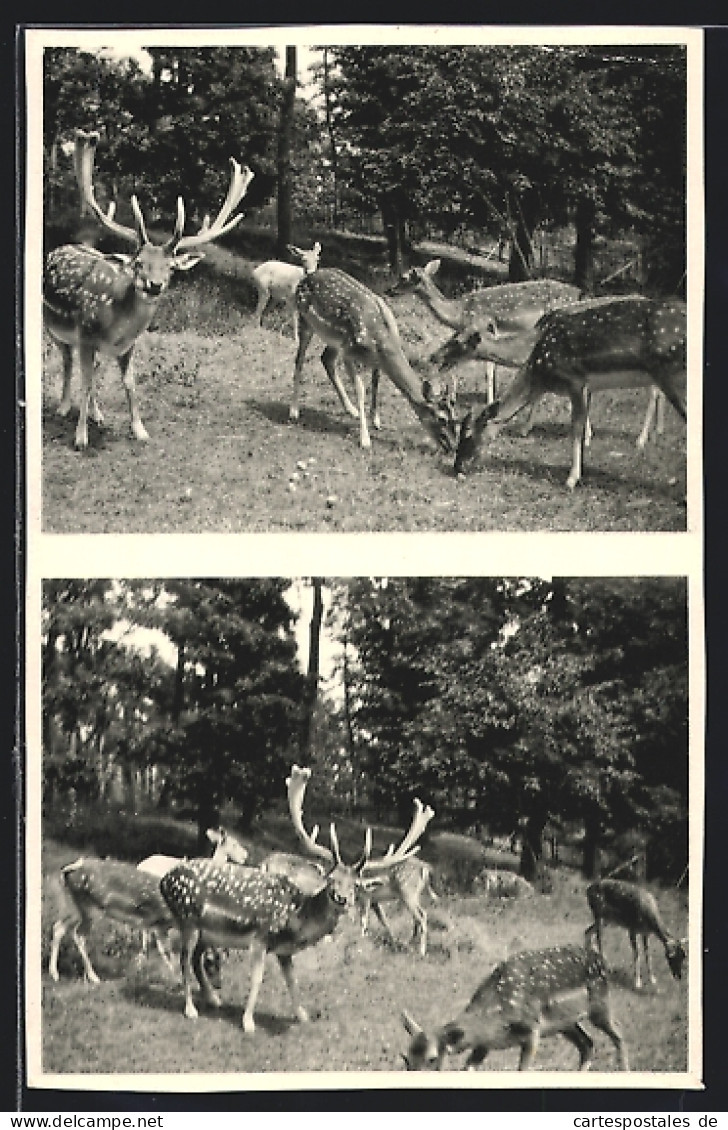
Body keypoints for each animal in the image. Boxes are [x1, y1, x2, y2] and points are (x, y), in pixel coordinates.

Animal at [159, 768, 431, 1035]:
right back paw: (190, 1009)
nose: (341, 898)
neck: (296, 920)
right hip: (187, 918)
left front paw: (302, 1015)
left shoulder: (284, 950)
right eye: (331, 880)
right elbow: (257, 978)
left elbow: (292, 980)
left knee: (195, 959)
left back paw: (213, 998)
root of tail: (165, 880)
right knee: (184, 959)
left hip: (206, 931)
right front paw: (248, 1022)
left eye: (355, 885)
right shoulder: (261, 936)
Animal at [289, 266, 454, 452]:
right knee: (299, 359)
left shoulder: (371, 358)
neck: (381, 341)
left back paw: (350, 409)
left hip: (334, 339)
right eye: (441, 419)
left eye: (455, 417)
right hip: (305, 320)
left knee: (326, 359)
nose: (452, 446)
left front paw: (375, 420)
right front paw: (365, 439)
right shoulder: (349, 351)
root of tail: (306, 277)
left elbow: (376, 382)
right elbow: (361, 389)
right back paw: (294, 410)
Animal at [400, 944, 628, 1066]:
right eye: (406, 1058)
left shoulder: (532, 1030)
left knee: (618, 1034)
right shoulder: (484, 1044)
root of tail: (602, 959)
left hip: (600, 1005)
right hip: (566, 1023)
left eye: (431, 1059)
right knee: (587, 1045)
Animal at [431, 293, 687, 488]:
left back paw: (643, 440)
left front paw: (572, 478)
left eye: (467, 434)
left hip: (671, 377)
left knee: (660, 398)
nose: (457, 467)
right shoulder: (585, 386)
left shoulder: (575, 380)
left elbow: (575, 427)